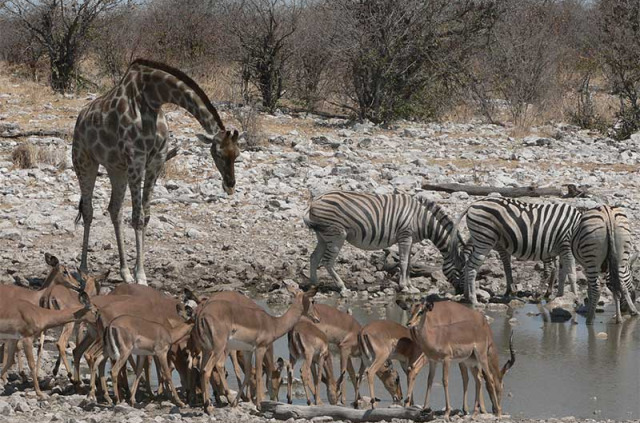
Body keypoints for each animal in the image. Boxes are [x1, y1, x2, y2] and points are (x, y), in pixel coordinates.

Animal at [70, 59, 240, 284]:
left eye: (237, 154)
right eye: (218, 154)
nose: (230, 185)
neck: (153, 98)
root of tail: (80, 118)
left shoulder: (156, 161)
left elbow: (147, 215)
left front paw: (136, 272)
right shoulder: (137, 160)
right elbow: (137, 217)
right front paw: (141, 276)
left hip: (117, 168)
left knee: (115, 209)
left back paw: (124, 272)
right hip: (84, 161)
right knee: (88, 210)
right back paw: (84, 271)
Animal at [302, 190, 468, 296]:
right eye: (461, 271)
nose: (461, 293)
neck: (422, 219)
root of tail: (314, 201)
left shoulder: (410, 240)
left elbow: (409, 263)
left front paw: (411, 286)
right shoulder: (405, 236)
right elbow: (403, 262)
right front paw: (404, 287)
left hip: (323, 236)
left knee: (314, 257)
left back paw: (314, 284)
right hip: (337, 235)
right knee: (327, 261)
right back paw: (342, 288)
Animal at [450, 199, 584, 304]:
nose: (457, 290)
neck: (576, 227)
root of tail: (473, 204)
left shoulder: (562, 248)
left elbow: (564, 273)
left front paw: (561, 295)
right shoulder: (565, 246)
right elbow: (571, 273)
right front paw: (575, 297)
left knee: (469, 264)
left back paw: (468, 296)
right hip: (484, 238)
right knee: (472, 266)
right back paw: (473, 299)